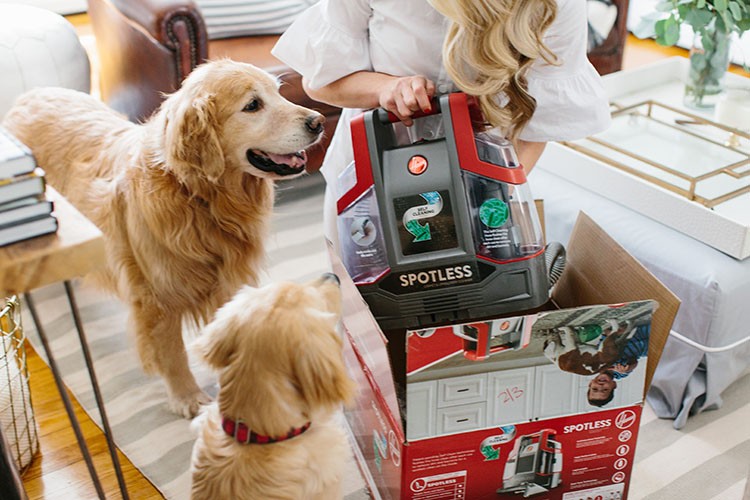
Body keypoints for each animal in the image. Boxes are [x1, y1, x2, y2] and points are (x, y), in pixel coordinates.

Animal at [2, 59, 326, 418]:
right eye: (253, 105)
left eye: (279, 92)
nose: (319, 121)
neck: (196, 196)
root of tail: (26, 96)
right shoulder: (155, 297)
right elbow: (172, 353)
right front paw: (188, 397)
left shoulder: (226, 281)